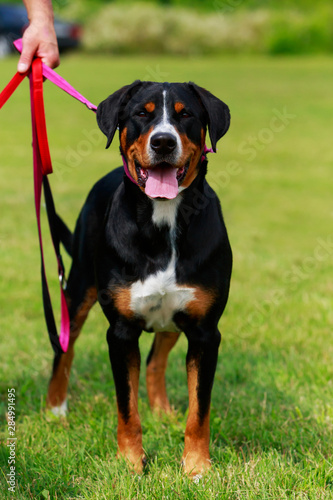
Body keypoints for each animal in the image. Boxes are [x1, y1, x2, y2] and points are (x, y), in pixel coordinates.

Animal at [46, 81, 232, 476]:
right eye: (141, 114)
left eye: (185, 114)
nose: (163, 142)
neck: (163, 218)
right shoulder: (120, 331)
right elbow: (126, 407)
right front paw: (130, 463)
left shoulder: (205, 331)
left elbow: (199, 409)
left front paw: (196, 466)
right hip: (79, 287)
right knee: (64, 349)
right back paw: (55, 408)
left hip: (174, 319)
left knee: (156, 361)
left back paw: (162, 411)